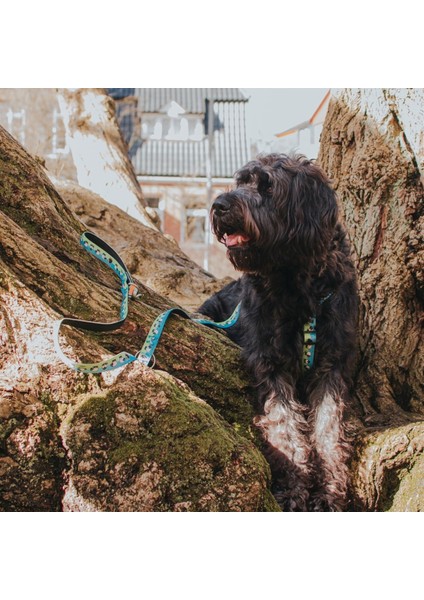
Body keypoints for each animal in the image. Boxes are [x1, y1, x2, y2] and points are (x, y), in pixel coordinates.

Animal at [200, 155, 358, 510]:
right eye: (241, 182)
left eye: (268, 187)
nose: (218, 205)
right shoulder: (270, 362)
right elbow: (284, 426)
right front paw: (293, 487)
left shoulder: (332, 365)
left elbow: (328, 429)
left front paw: (329, 491)